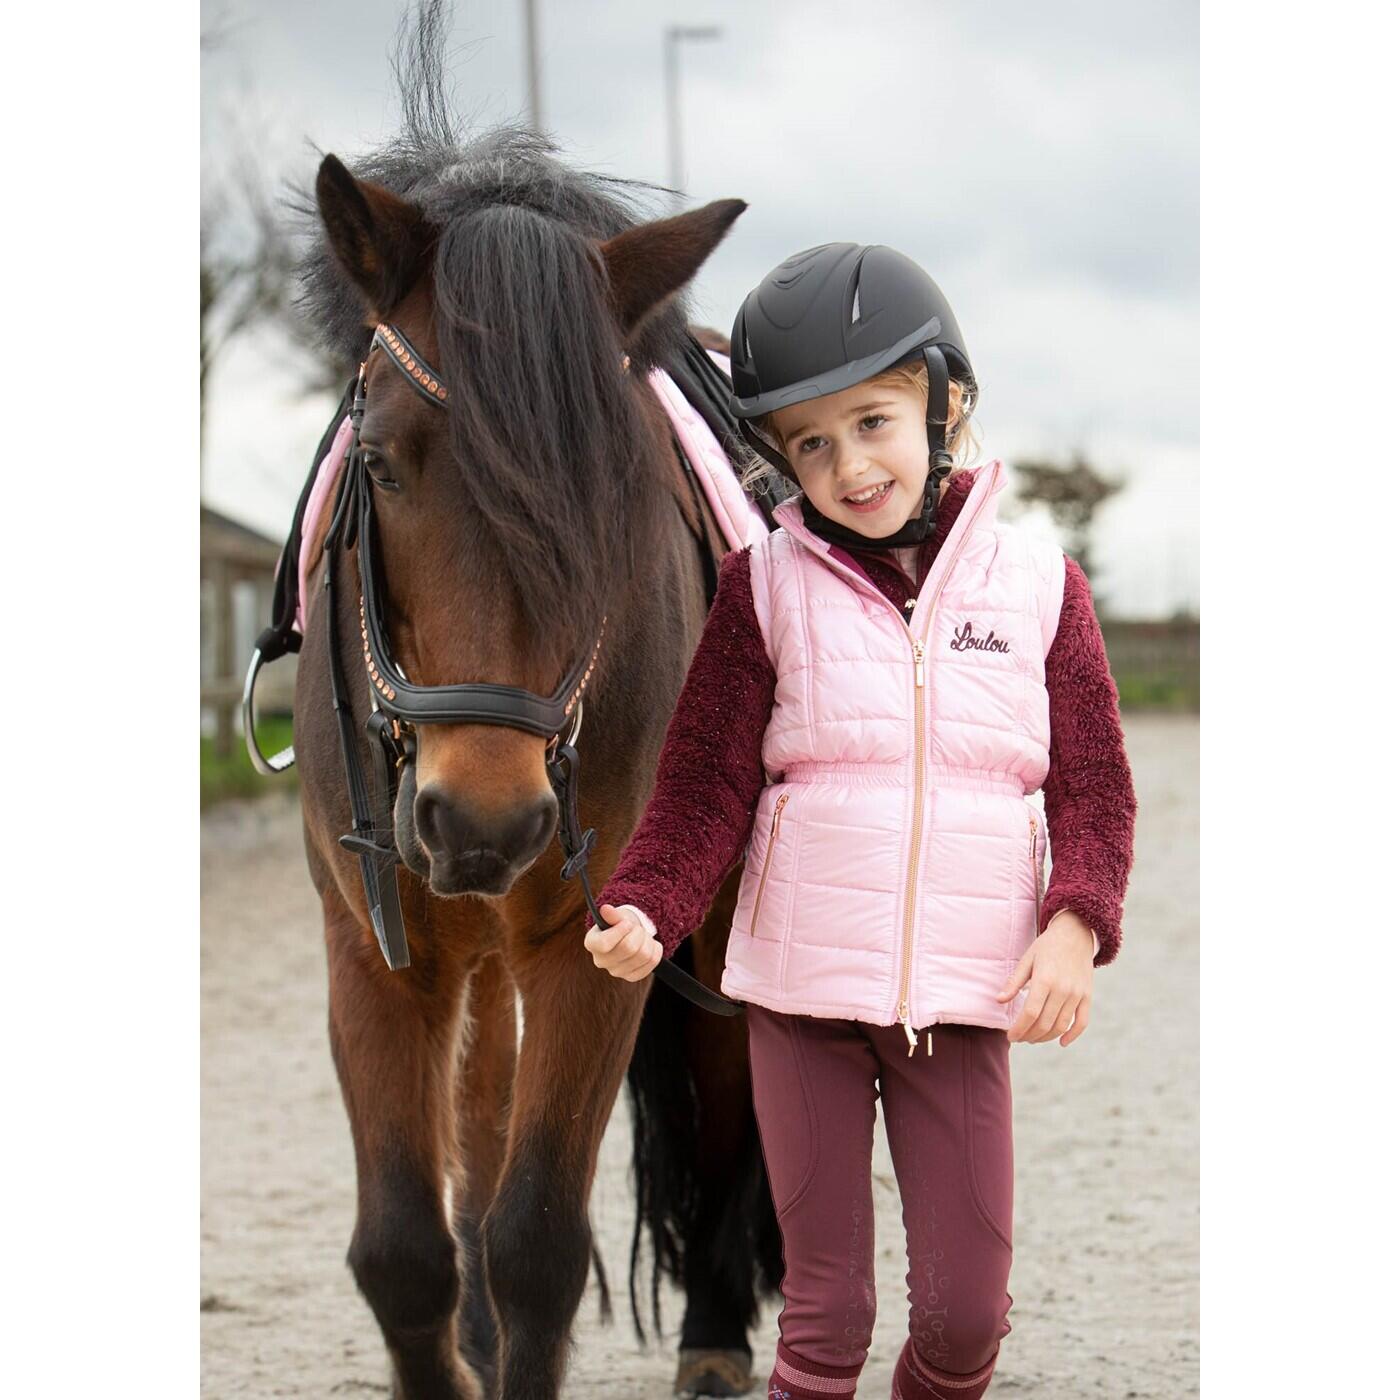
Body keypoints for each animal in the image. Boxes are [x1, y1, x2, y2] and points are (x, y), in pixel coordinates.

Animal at [282, 13, 779, 1400]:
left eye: (610, 481)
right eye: (381, 459)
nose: (484, 818)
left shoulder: (585, 940)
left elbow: (538, 1241)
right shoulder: (372, 943)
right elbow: (405, 1247)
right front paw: (455, 1334)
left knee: (730, 1083)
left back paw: (715, 1330)